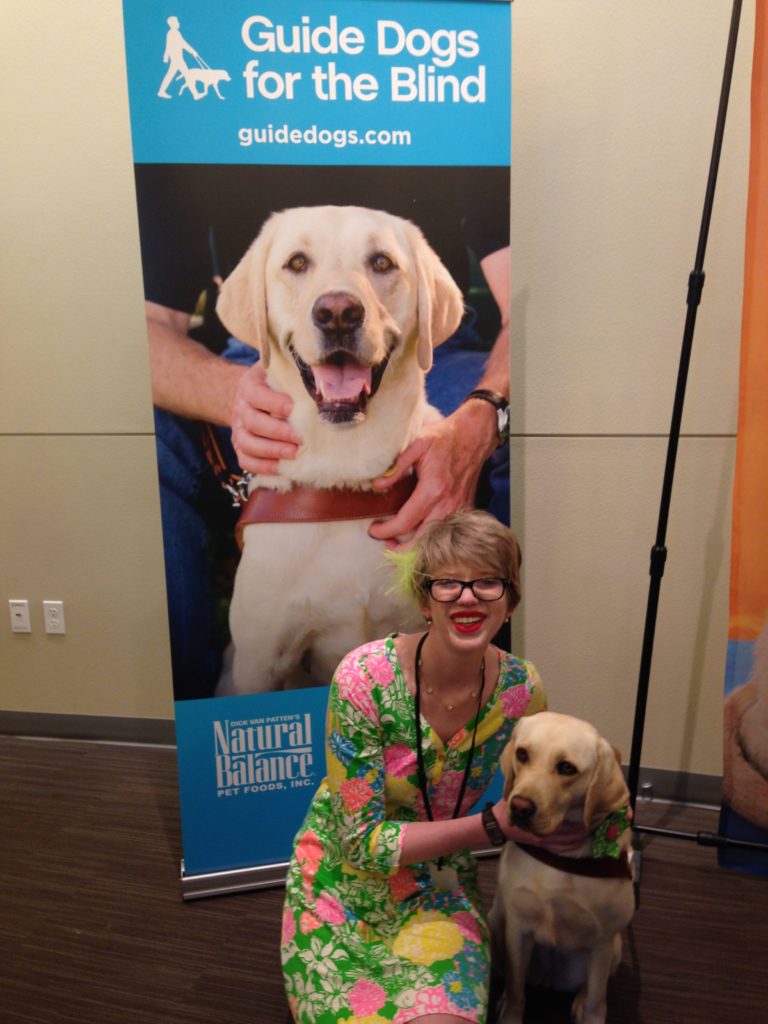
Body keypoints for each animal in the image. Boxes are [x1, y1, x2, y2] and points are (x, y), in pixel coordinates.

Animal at [489, 712, 634, 1024]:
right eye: (522, 753)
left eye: (567, 768)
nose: (519, 807)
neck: (558, 857)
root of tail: (550, 979)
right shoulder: (518, 928)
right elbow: (517, 990)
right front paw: (510, 1012)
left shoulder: (602, 941)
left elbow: (596, 1001)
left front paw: (590, 1013)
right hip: (496, 924)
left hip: (615, 946)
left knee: (593, 986)